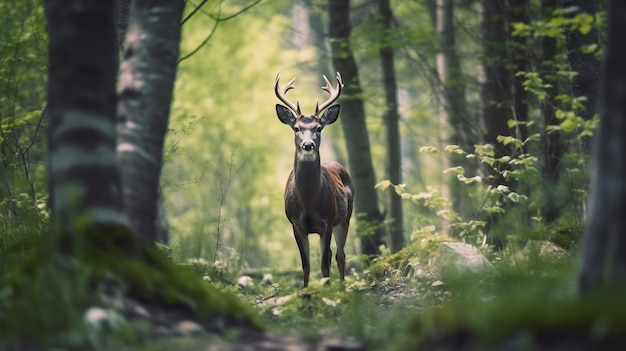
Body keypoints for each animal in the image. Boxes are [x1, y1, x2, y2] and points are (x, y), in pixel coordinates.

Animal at [272, 72, 354, 288]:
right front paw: (306, 292)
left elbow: (324, 265)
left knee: (340, 256)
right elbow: (306, 265)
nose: (308, 145)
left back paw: (342, 288)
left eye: (318, 128)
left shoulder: (327, 222)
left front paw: (327, 293)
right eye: (296, 128)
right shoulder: (295, 224)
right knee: (336, 254)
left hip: (345, 218)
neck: (308, 203)